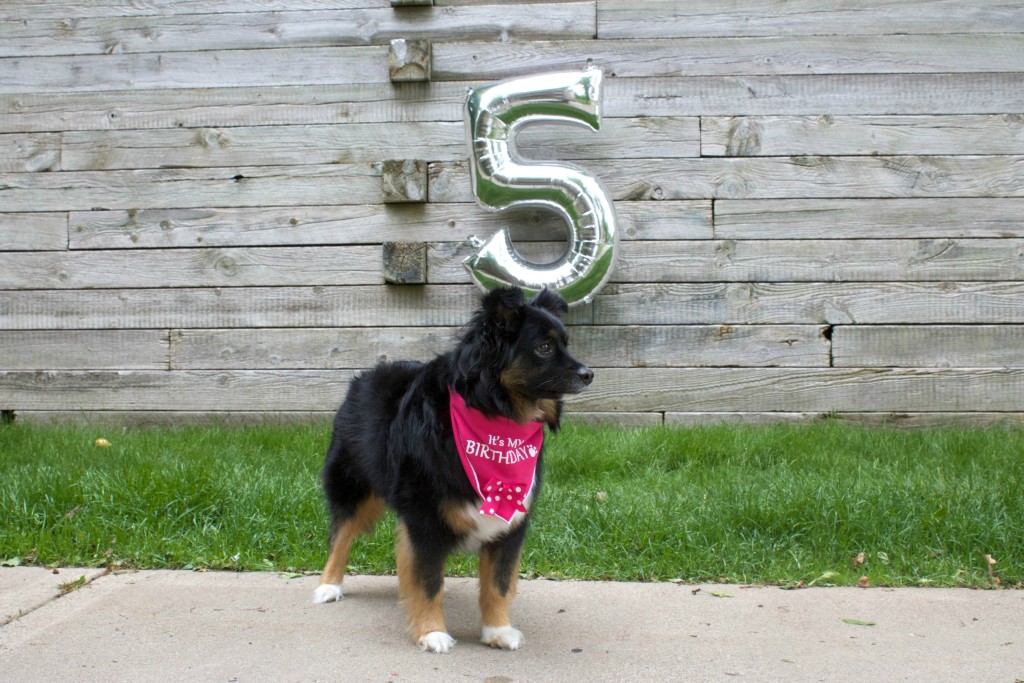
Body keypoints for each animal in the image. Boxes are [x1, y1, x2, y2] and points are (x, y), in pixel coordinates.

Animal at [311, 286, 593, 651]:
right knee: (340, 536)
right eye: (544, 347)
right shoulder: (425, 519)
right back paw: (329, 585)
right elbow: (429, 582)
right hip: (353, 487)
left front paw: (497, 630)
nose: (589, 374)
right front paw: (431, 632)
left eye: (566, 344)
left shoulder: (511, 525)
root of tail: (366, 376)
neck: (494, 414)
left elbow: (498, 584)